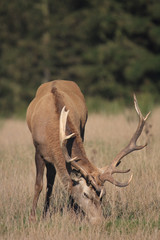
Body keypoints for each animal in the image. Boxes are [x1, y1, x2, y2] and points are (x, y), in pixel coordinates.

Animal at [26, 79, 150, 224]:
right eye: (85, 194)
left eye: (103, 195)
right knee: (49, 182)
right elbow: (38, 185)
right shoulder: (38, 151)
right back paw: (44, 214)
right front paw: (32, 219)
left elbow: (68, 187)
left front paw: (73, 215)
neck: (50, 132)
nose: (99, 221)